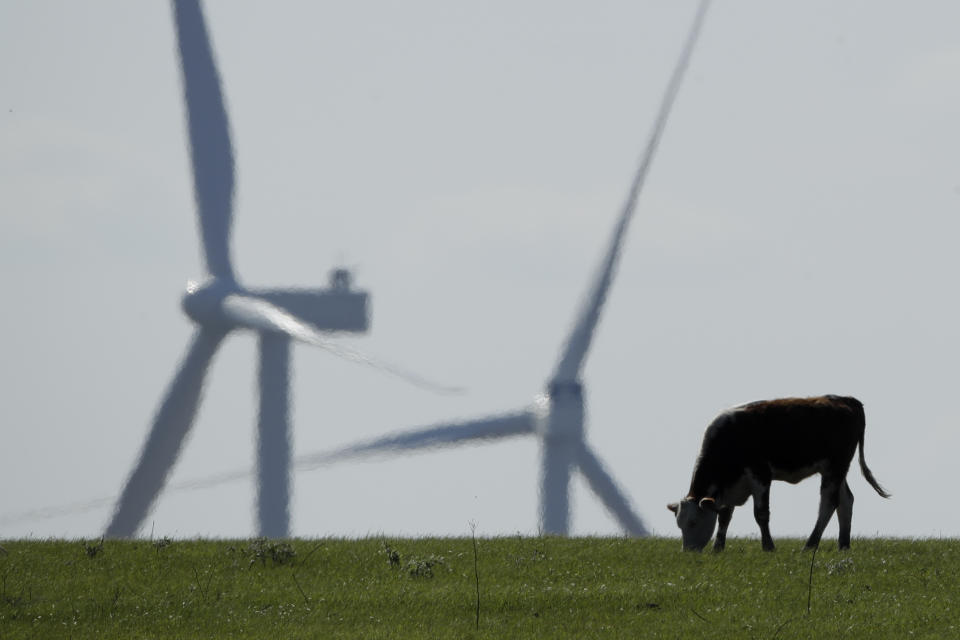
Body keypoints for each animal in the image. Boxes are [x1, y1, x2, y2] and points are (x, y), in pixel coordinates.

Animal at [672, 396, 888, 552]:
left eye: (693, 522)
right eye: (679, 524)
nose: (687, 552)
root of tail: (846, 399)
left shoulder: (760, 474)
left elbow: (761, 514)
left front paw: (768, 547)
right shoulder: (732, 485)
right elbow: (725, 515)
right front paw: (718, 548)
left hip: (836, 467)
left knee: (828, 503)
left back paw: (810, 545)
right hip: (835, 470)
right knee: (845, 501)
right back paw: (843, 545)